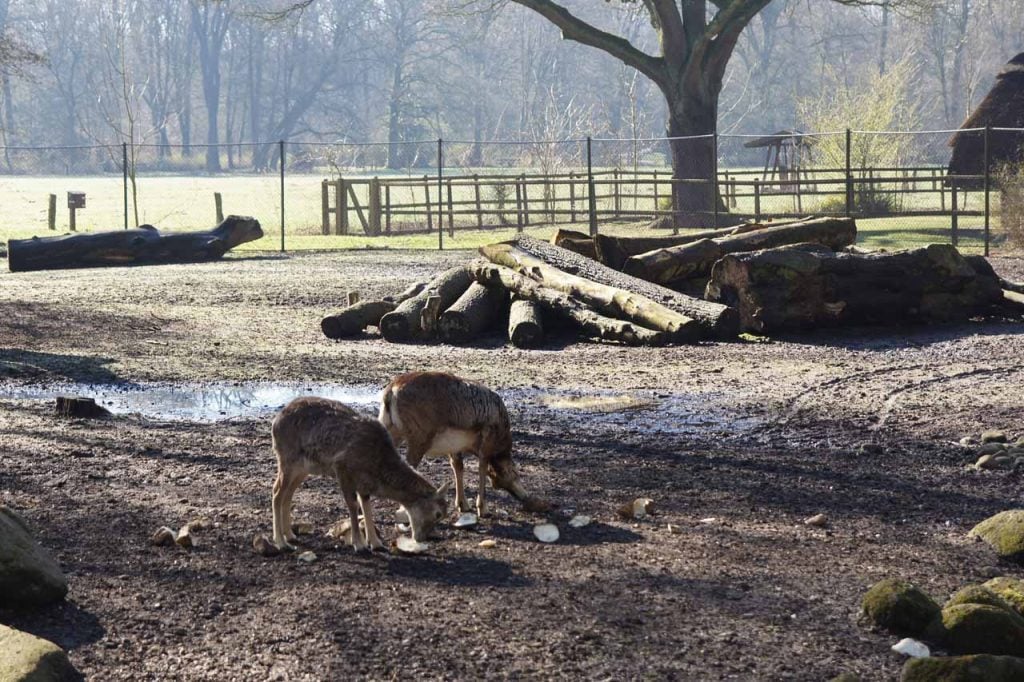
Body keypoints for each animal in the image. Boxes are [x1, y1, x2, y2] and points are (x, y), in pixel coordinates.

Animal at [272, 395, 448, 548]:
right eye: (438, 514)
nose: (421, 538)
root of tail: (275, 422)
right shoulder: (342, 468)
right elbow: (353, 505)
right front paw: (359, 544)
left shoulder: (363, 483)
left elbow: (366, 506)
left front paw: (376, 543)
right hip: (287, 459)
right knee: (277, 492)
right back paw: (281, 542)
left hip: (303, 469)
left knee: (288, 494)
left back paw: (291, 535)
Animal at [378, 372, 548, 516]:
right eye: (513, 474)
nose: (525, 498)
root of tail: (391, 392)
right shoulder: (487, 441)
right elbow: (481, 468)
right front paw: (482, 509)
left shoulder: (454, 447)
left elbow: (458, 467)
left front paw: (463, 505)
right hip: (419, 438)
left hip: (390, 429)